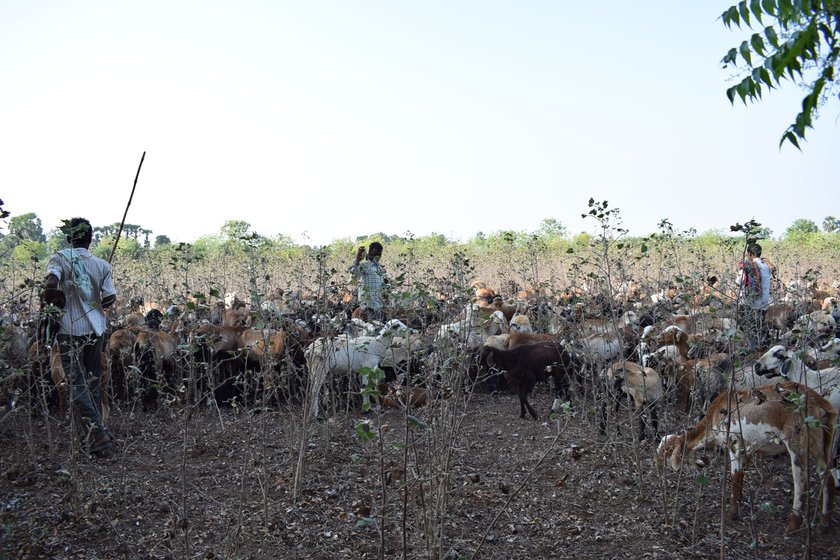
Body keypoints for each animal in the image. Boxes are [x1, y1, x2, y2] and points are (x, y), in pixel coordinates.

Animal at [660, 380, 836, 532]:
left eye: (667, 451)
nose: (660, 466)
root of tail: (820, 402)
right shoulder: (748, 449)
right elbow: (741, 475)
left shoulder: (734, 444)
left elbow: (735, 476)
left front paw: (732, 514)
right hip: (821, 444)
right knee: (827, 476)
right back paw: (824, 523)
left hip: (798, 443)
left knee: (801, 483)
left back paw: (793, 525)